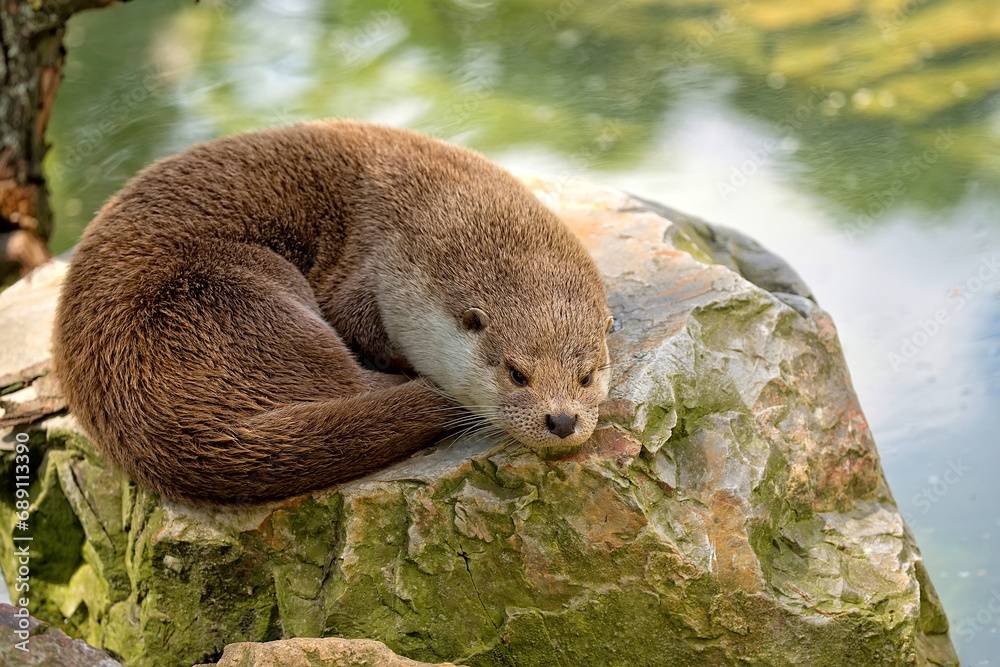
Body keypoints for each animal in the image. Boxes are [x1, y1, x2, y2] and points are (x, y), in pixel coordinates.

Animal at [52, 120, 613, 505]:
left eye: (586, 376)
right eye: (517, 373)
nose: (562, 420)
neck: (431, 206)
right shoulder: (363, 274)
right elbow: (354, 322)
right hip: (230, 297)